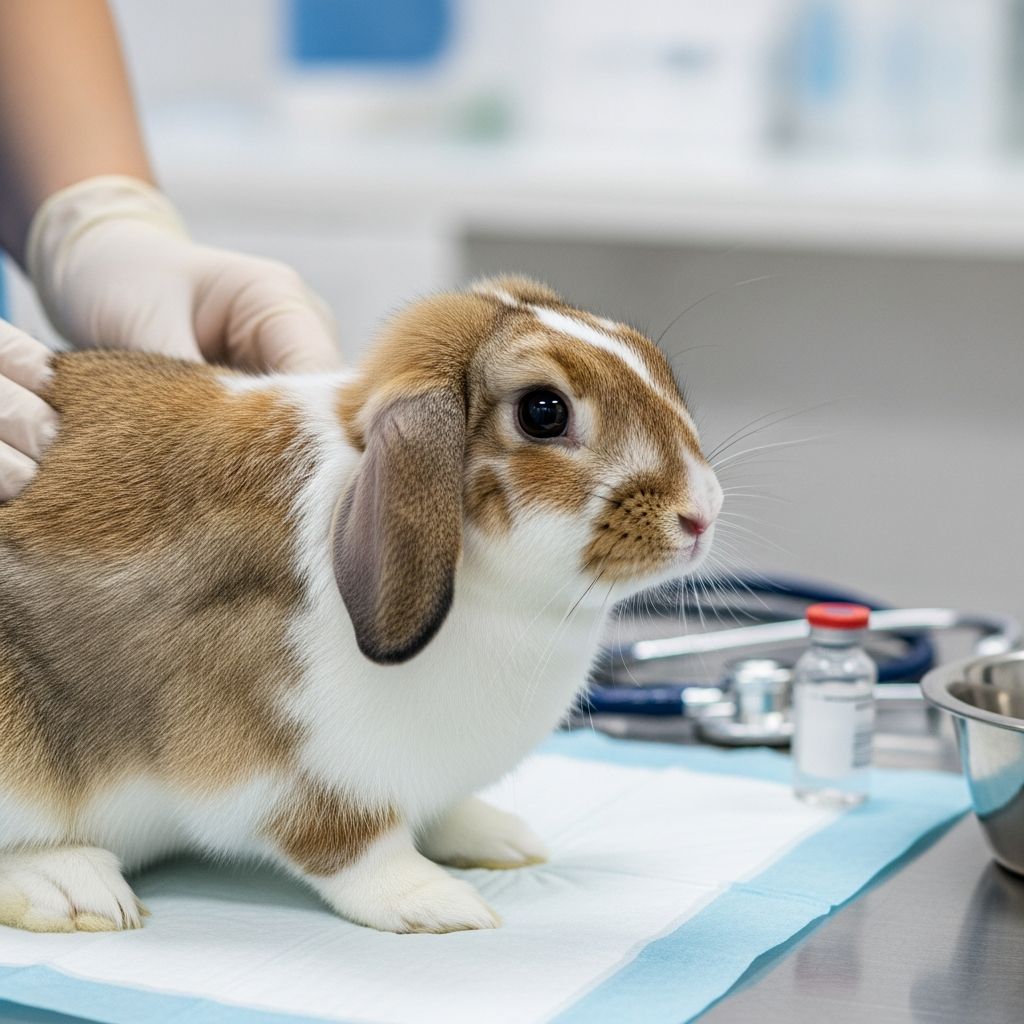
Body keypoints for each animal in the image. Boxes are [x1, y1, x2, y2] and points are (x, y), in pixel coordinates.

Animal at [0, 276, 722, 934]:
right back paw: (75, 889)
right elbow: (351, 845)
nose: (702, 513)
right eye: (544, 412)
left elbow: (441, 810)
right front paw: (436, 902)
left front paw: (500, 839)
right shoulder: (283, 773)